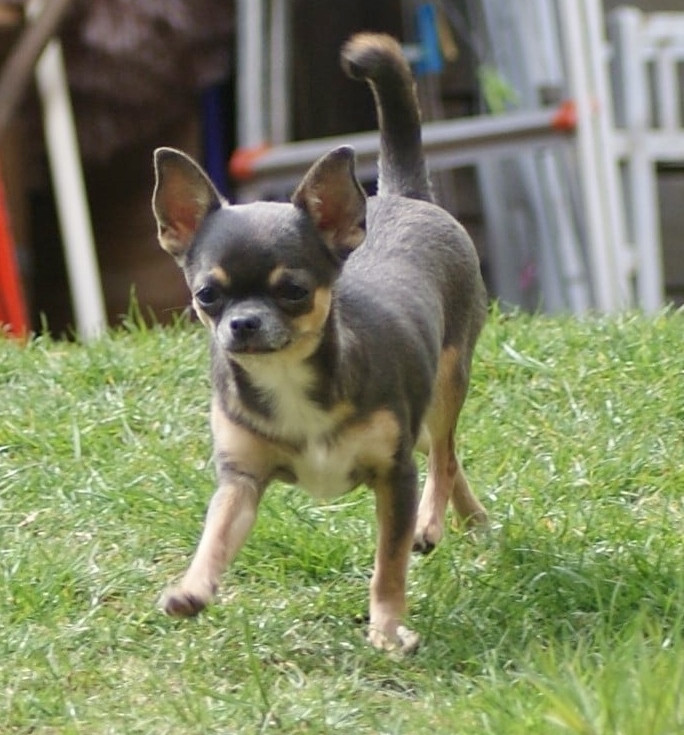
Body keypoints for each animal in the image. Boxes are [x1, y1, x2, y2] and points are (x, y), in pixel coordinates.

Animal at [151, 33, 488, 653]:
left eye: (294, 292)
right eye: (207, 295)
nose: (243, 323)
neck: (288, 377)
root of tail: (403, 193)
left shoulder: (394, 476)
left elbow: (389, 563)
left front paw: (387, 628)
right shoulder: (241, 479)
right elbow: (216, 534)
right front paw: (193, 587)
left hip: (450, 377)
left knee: (445, 454)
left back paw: (432, 522)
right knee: (446, 454)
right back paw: (471, 519)